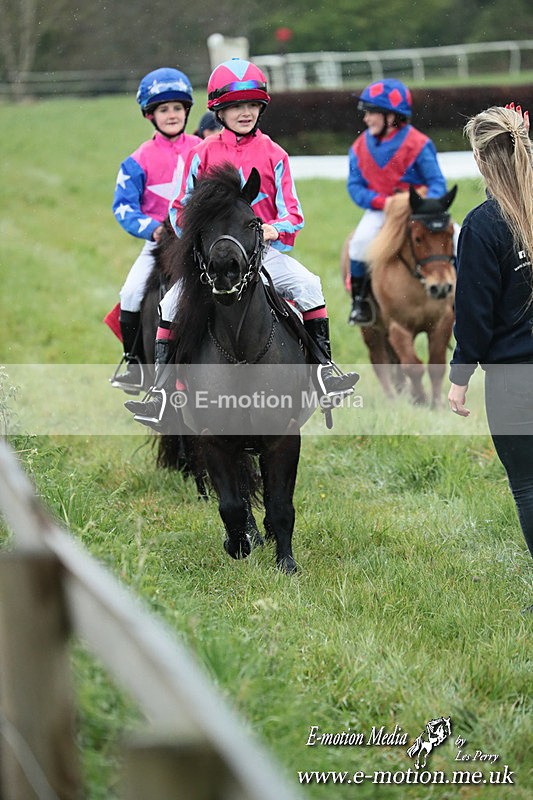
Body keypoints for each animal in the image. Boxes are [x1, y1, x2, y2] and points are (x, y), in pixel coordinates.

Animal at [152, 163, 316, 573]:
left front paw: (286, 563)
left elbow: (281, 503)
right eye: (203, 226)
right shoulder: (215, 437)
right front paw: (238, 544)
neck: (242, 349)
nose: (225, 267)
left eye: (252, 222)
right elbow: (231, 503)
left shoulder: (284, 435)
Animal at [342, 186, 457, 407]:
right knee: (379, 361)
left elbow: (436, 365)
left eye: (449, 235)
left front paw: (437, 404)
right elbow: (413, 365)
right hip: (371, 329)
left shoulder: (442, 322)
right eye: (418, 238)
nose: (440, 288)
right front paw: (420, 399)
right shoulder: (398, 327)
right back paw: (392, 399)